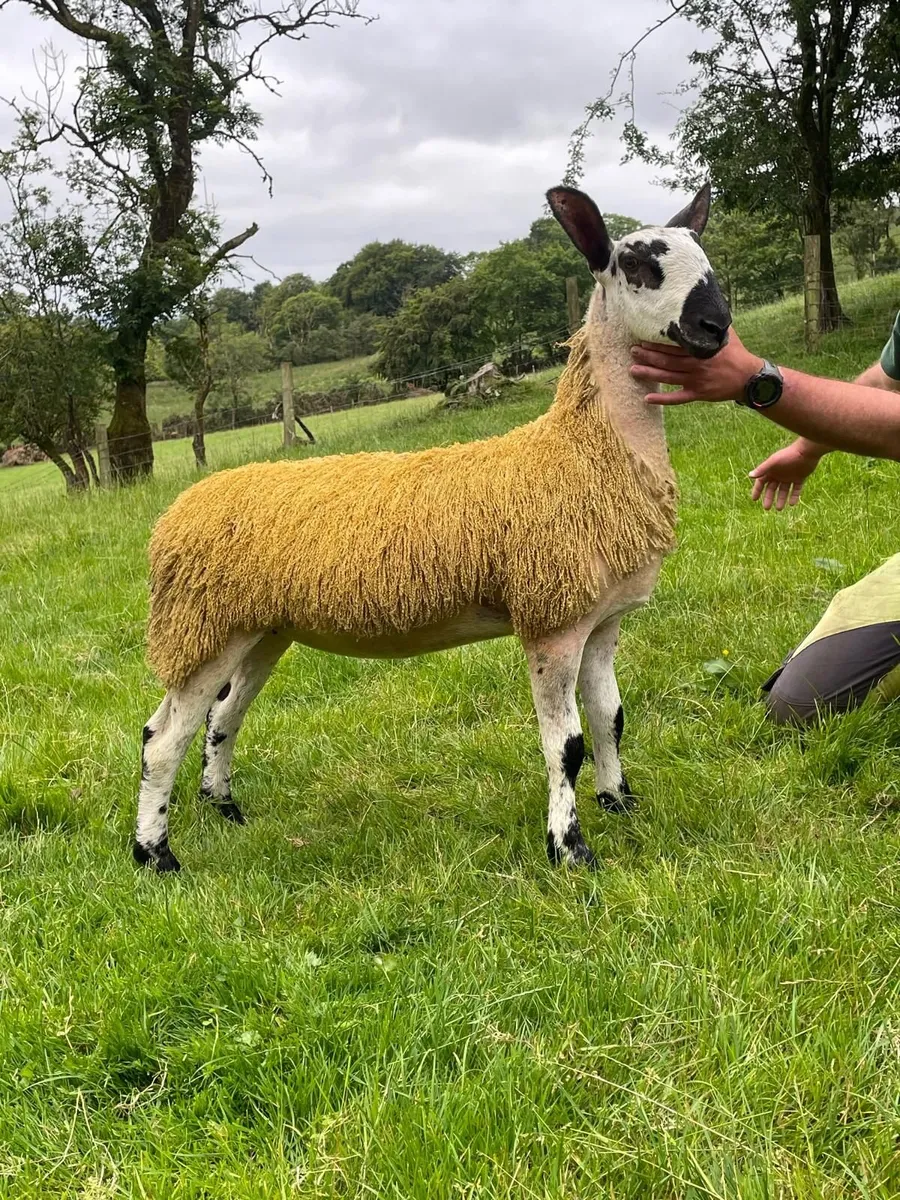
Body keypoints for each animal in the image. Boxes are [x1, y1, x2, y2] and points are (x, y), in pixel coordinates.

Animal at [134, 182, 731, 873]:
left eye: (703, 253)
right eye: (636, 265)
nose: (717, 326)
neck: (584, 450)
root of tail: (175, 514)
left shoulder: (602, 618)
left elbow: (611, 718)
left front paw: (621, 804)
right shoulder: (550, 621)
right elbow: (567, 746)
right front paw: (570, 850)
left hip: (261, 629)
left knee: (222, 717)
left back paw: (226, 808)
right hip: (205, 627)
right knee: (162, 737)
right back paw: (155, 854)